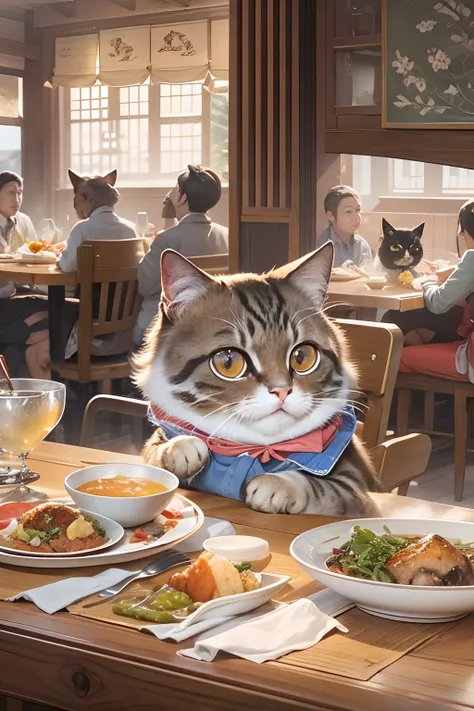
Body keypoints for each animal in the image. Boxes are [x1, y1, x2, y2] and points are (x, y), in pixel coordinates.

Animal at [132, 246, 378, 516]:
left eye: (302, 357)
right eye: (228, 361)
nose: (282, 391)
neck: (251, 451)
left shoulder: (359, 493)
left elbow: (323, 488)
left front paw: (276, 485)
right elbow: (153, 451)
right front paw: (179, 447)